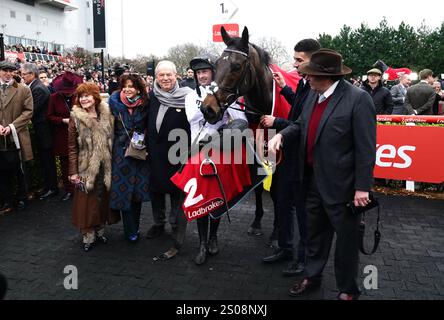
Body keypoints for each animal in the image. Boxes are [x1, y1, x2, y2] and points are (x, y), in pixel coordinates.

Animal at [201, 26, 278, 241]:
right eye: (216, 64)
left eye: (236, 66)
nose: (207, 109)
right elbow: (258, 186)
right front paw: (257, 222)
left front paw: (277, 234)